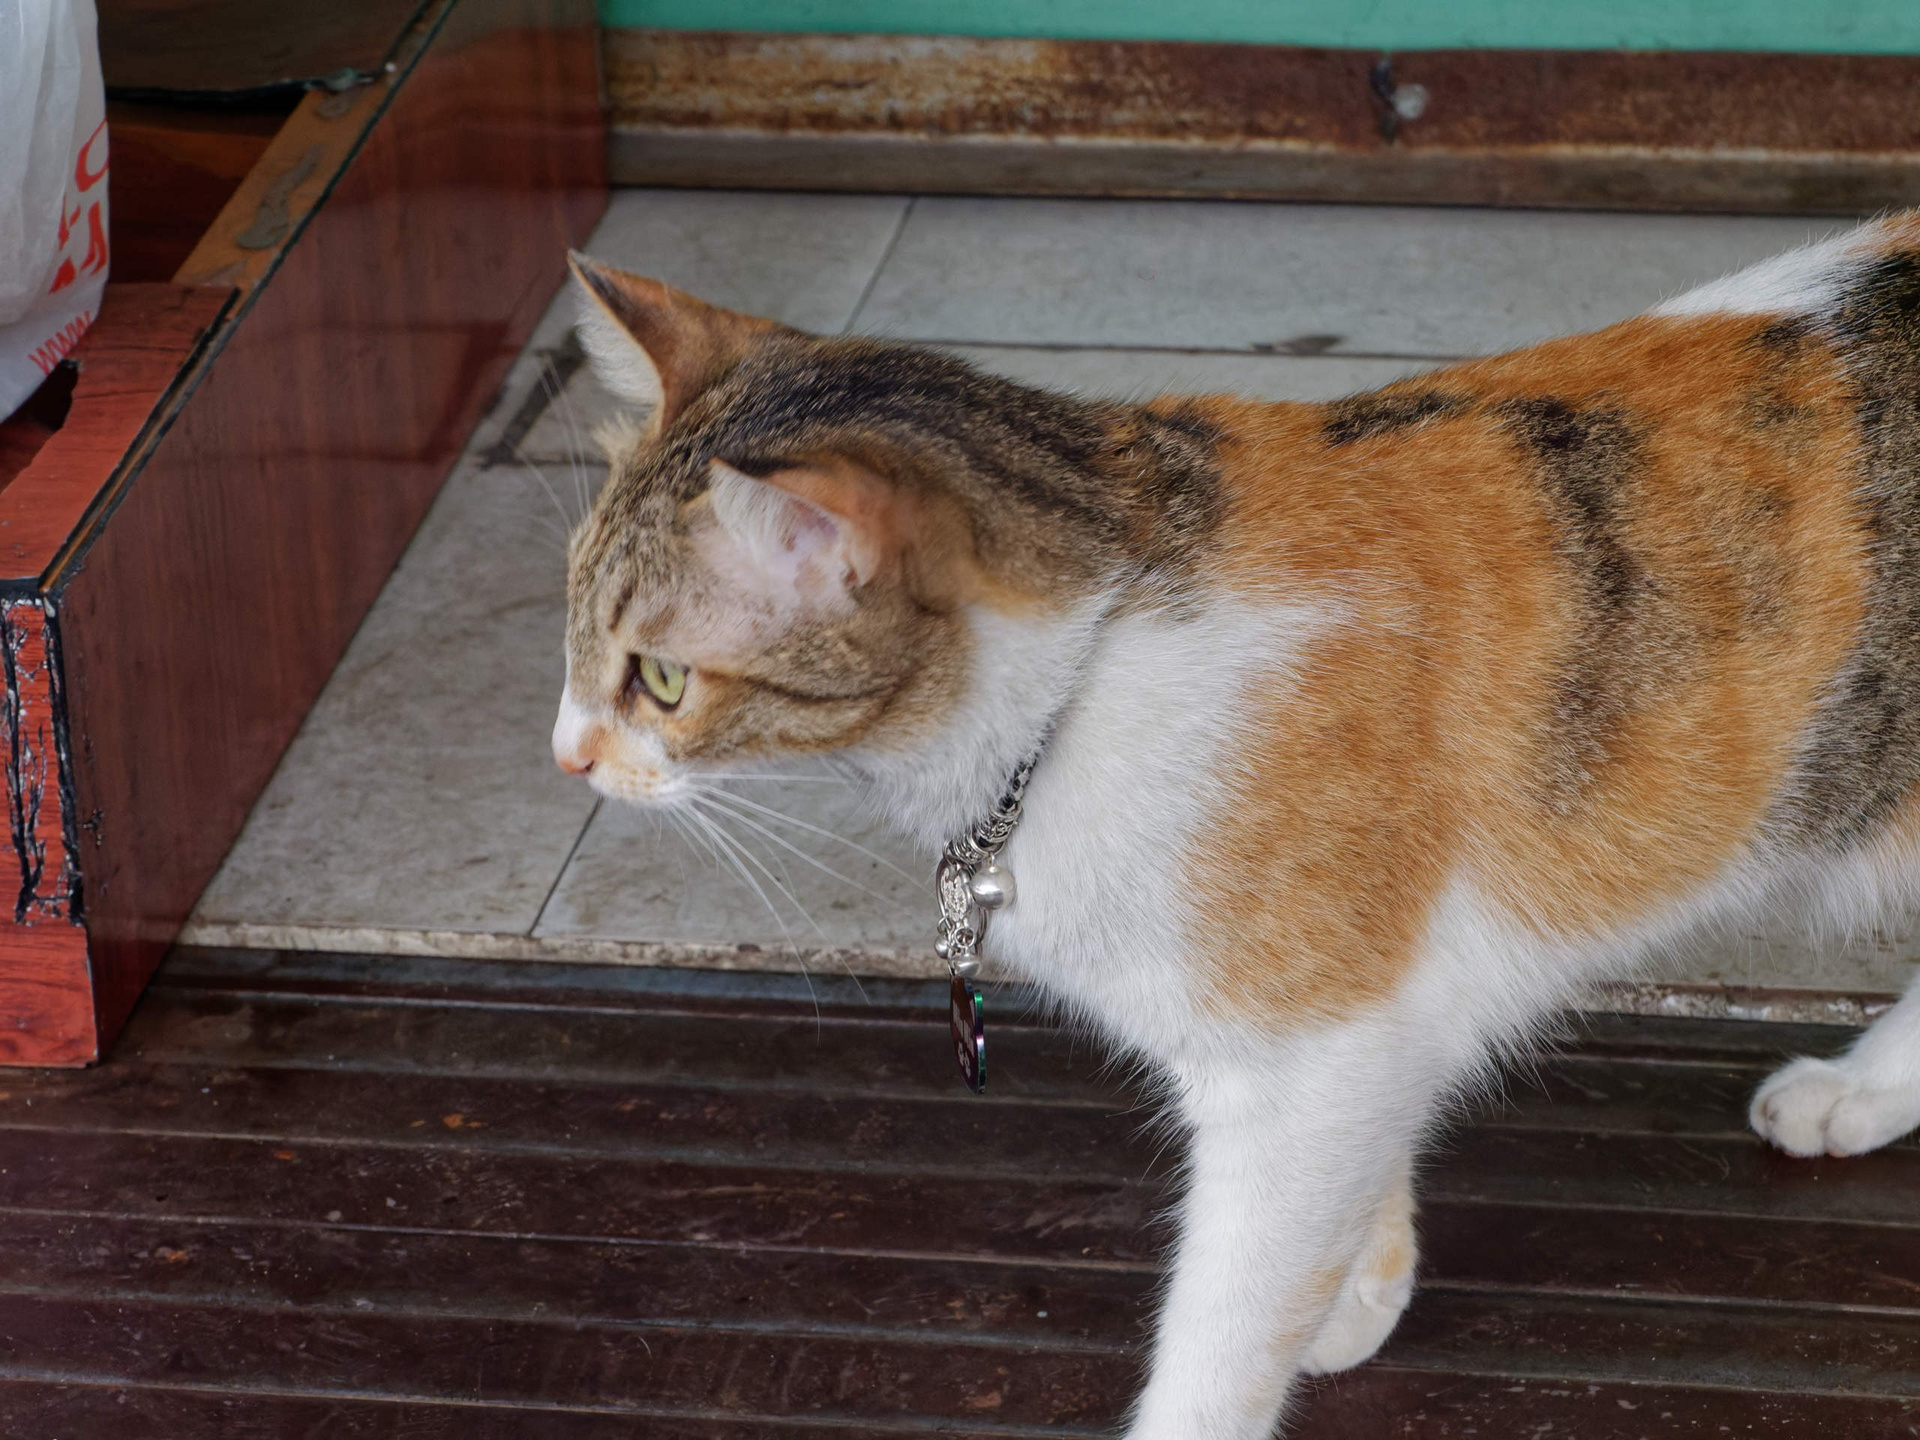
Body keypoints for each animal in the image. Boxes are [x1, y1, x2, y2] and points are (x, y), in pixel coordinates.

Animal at [551, 211, 1920, 1439]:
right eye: (569, 627)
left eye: (659, 679)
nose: (565, 754)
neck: (1079, 680)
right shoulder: (1362, 1028)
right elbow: (1344, 1196)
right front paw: (1358, 1291)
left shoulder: (1310, 1057)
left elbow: (1221, 1329)